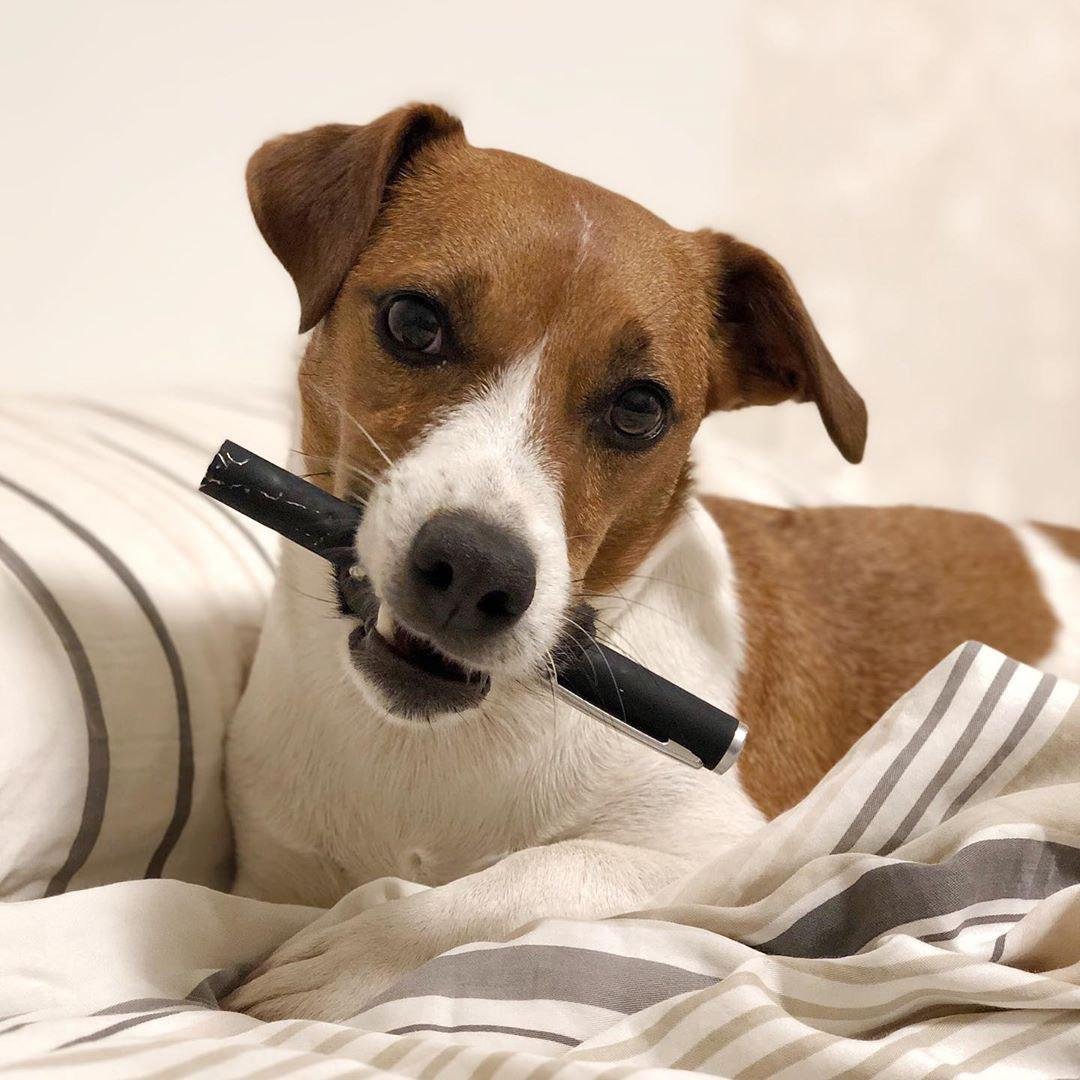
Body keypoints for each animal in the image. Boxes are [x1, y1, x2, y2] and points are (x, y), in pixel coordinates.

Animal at [221, 103, 1080, 1019]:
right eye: (414, 323)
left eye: (640, 408)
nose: (478, 570)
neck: (432, 747)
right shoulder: (272, 871)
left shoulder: (731, 854)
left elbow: (540, 871)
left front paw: (360, 948)